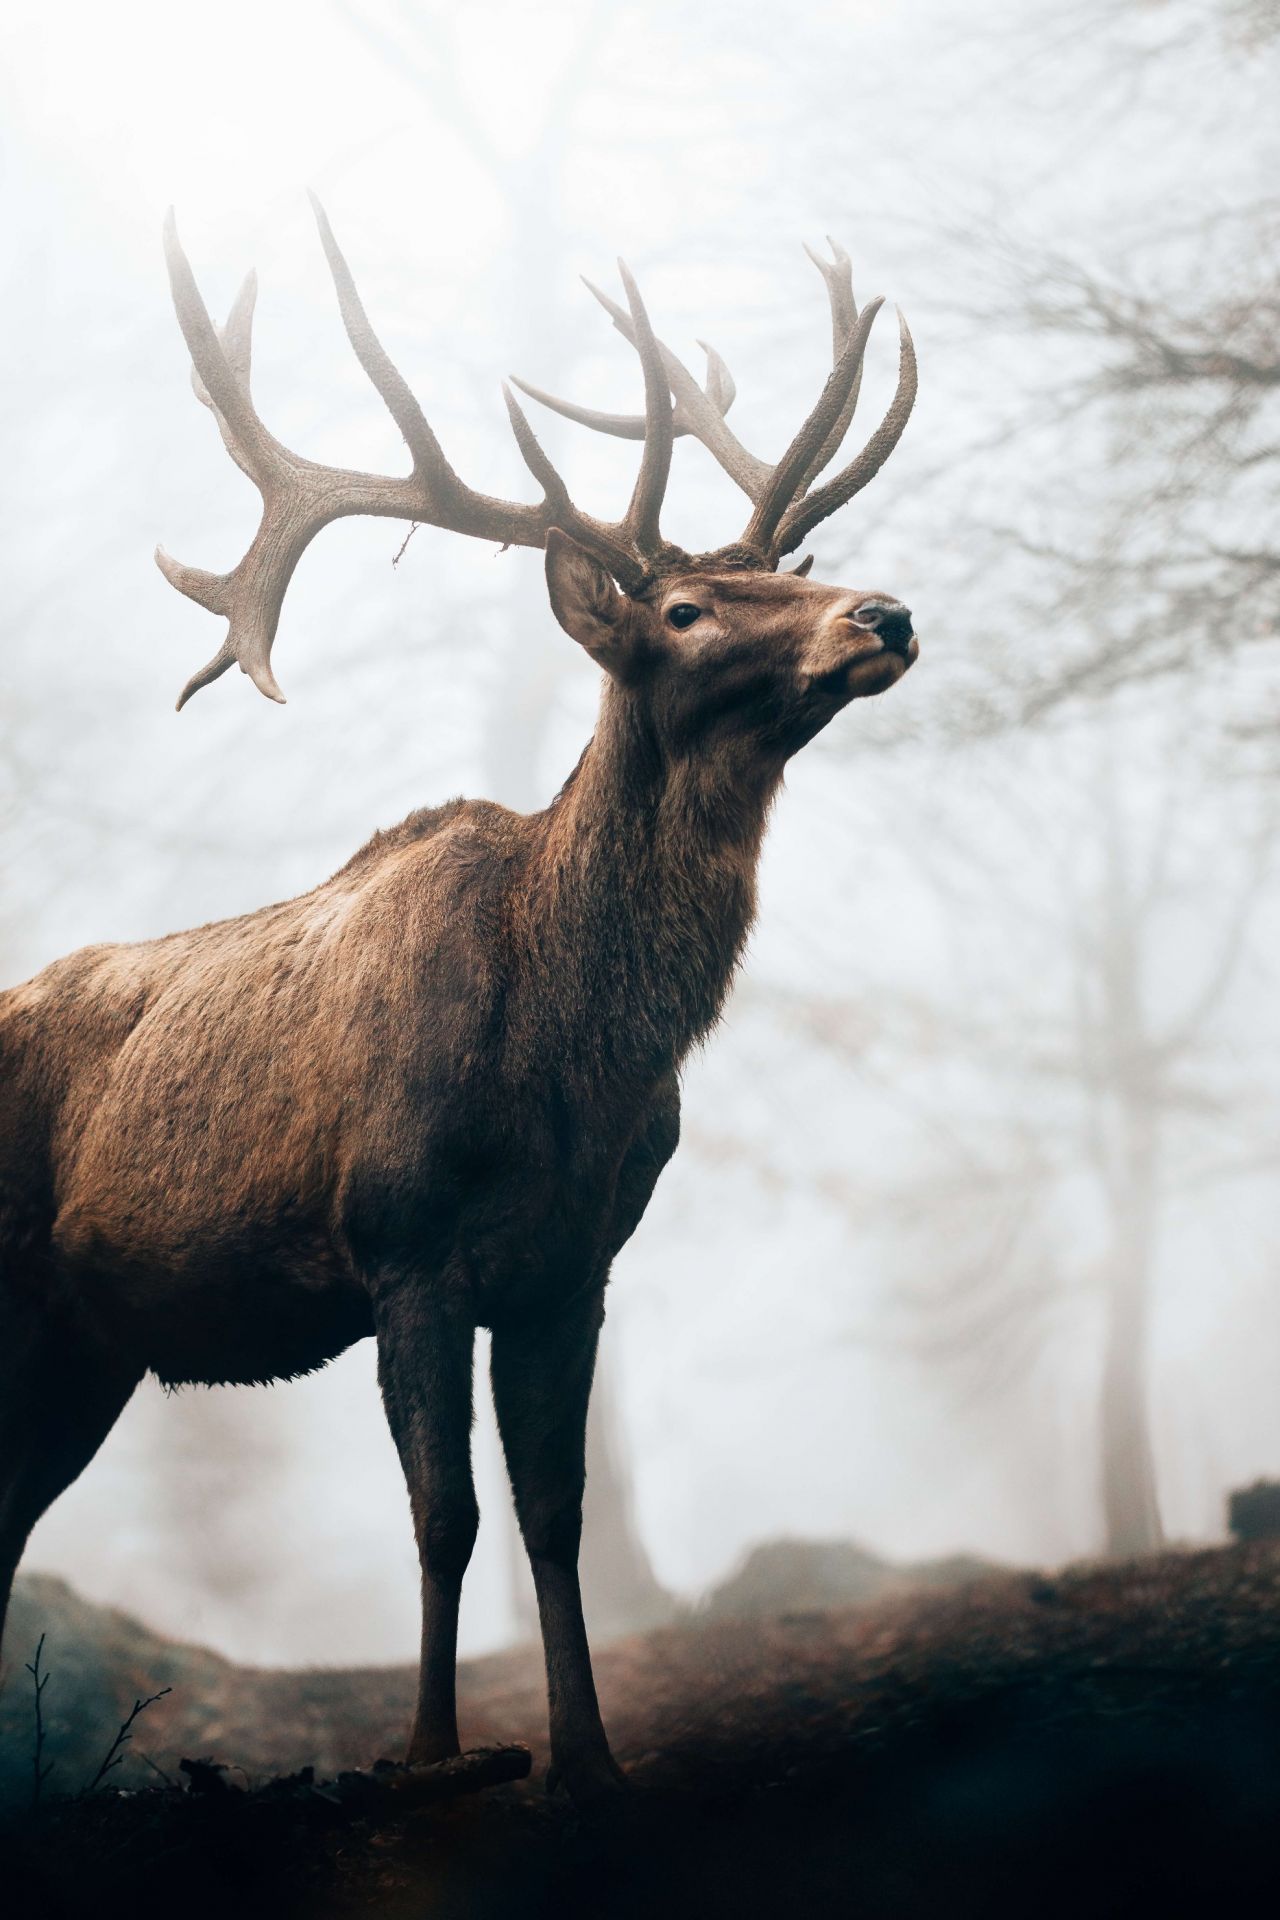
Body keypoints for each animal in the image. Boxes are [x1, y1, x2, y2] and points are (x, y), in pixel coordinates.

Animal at [0, 200, 917, 1804]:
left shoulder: (575, 1264)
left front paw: (590, 1757)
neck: (571, 1060)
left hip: (86, 1342)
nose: (883, 613)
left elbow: (553, 1513)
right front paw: (433, 1752)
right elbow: (447, 1516)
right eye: (685, 605)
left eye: (790, 571)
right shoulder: (403, 1246)